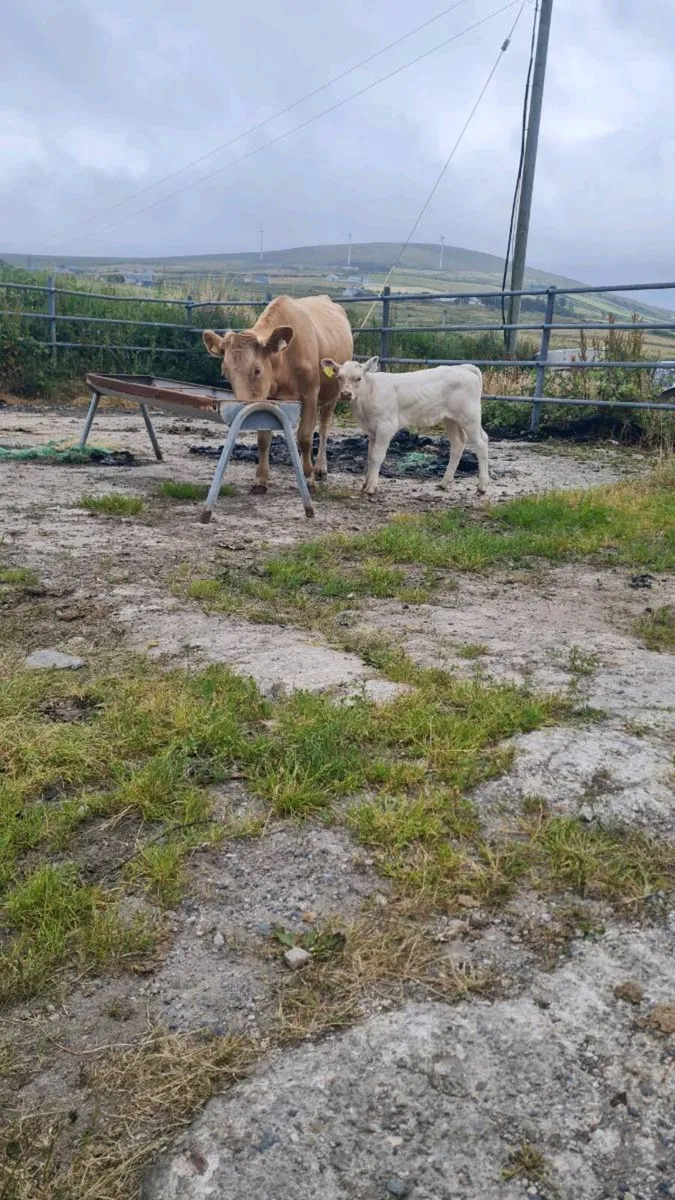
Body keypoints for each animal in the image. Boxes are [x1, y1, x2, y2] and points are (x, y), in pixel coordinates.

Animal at [203, 295, 352, 493]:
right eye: (225, 372)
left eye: (257, 370)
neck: (284, 360)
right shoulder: (268, 398)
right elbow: (264, 438)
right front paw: (261, 479)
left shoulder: (310, 395)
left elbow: (305, 437)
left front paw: (309, 479)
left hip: (331, 395)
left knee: (323, 428)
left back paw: (320, 468)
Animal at [320, 356, 489, 498]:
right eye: (339, 377)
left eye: (359, 378)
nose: (346, 394)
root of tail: (464, 367)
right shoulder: (372, 430)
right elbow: (370, 457)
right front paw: (365, 485)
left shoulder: (385, 426)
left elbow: (377, 456)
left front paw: (371, 488)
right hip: (451, 418)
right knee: (458, 443)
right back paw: (444, 483)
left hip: (470, 416)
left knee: (481, 442)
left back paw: (482, 486)